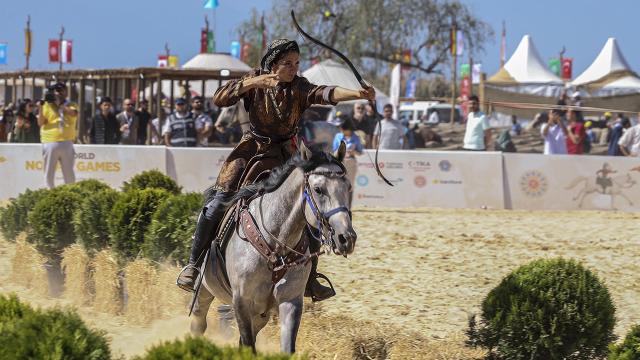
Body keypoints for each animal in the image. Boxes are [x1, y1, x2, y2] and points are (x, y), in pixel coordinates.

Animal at [192, 142, 358, 352]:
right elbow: (248, 345)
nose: (346, 238)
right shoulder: (241, 302)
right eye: (318, 189)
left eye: (348, 187)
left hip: (261, 315)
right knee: (199, 323)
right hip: (203, 291)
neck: (275, 247)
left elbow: (285, 347)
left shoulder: (290, 302)